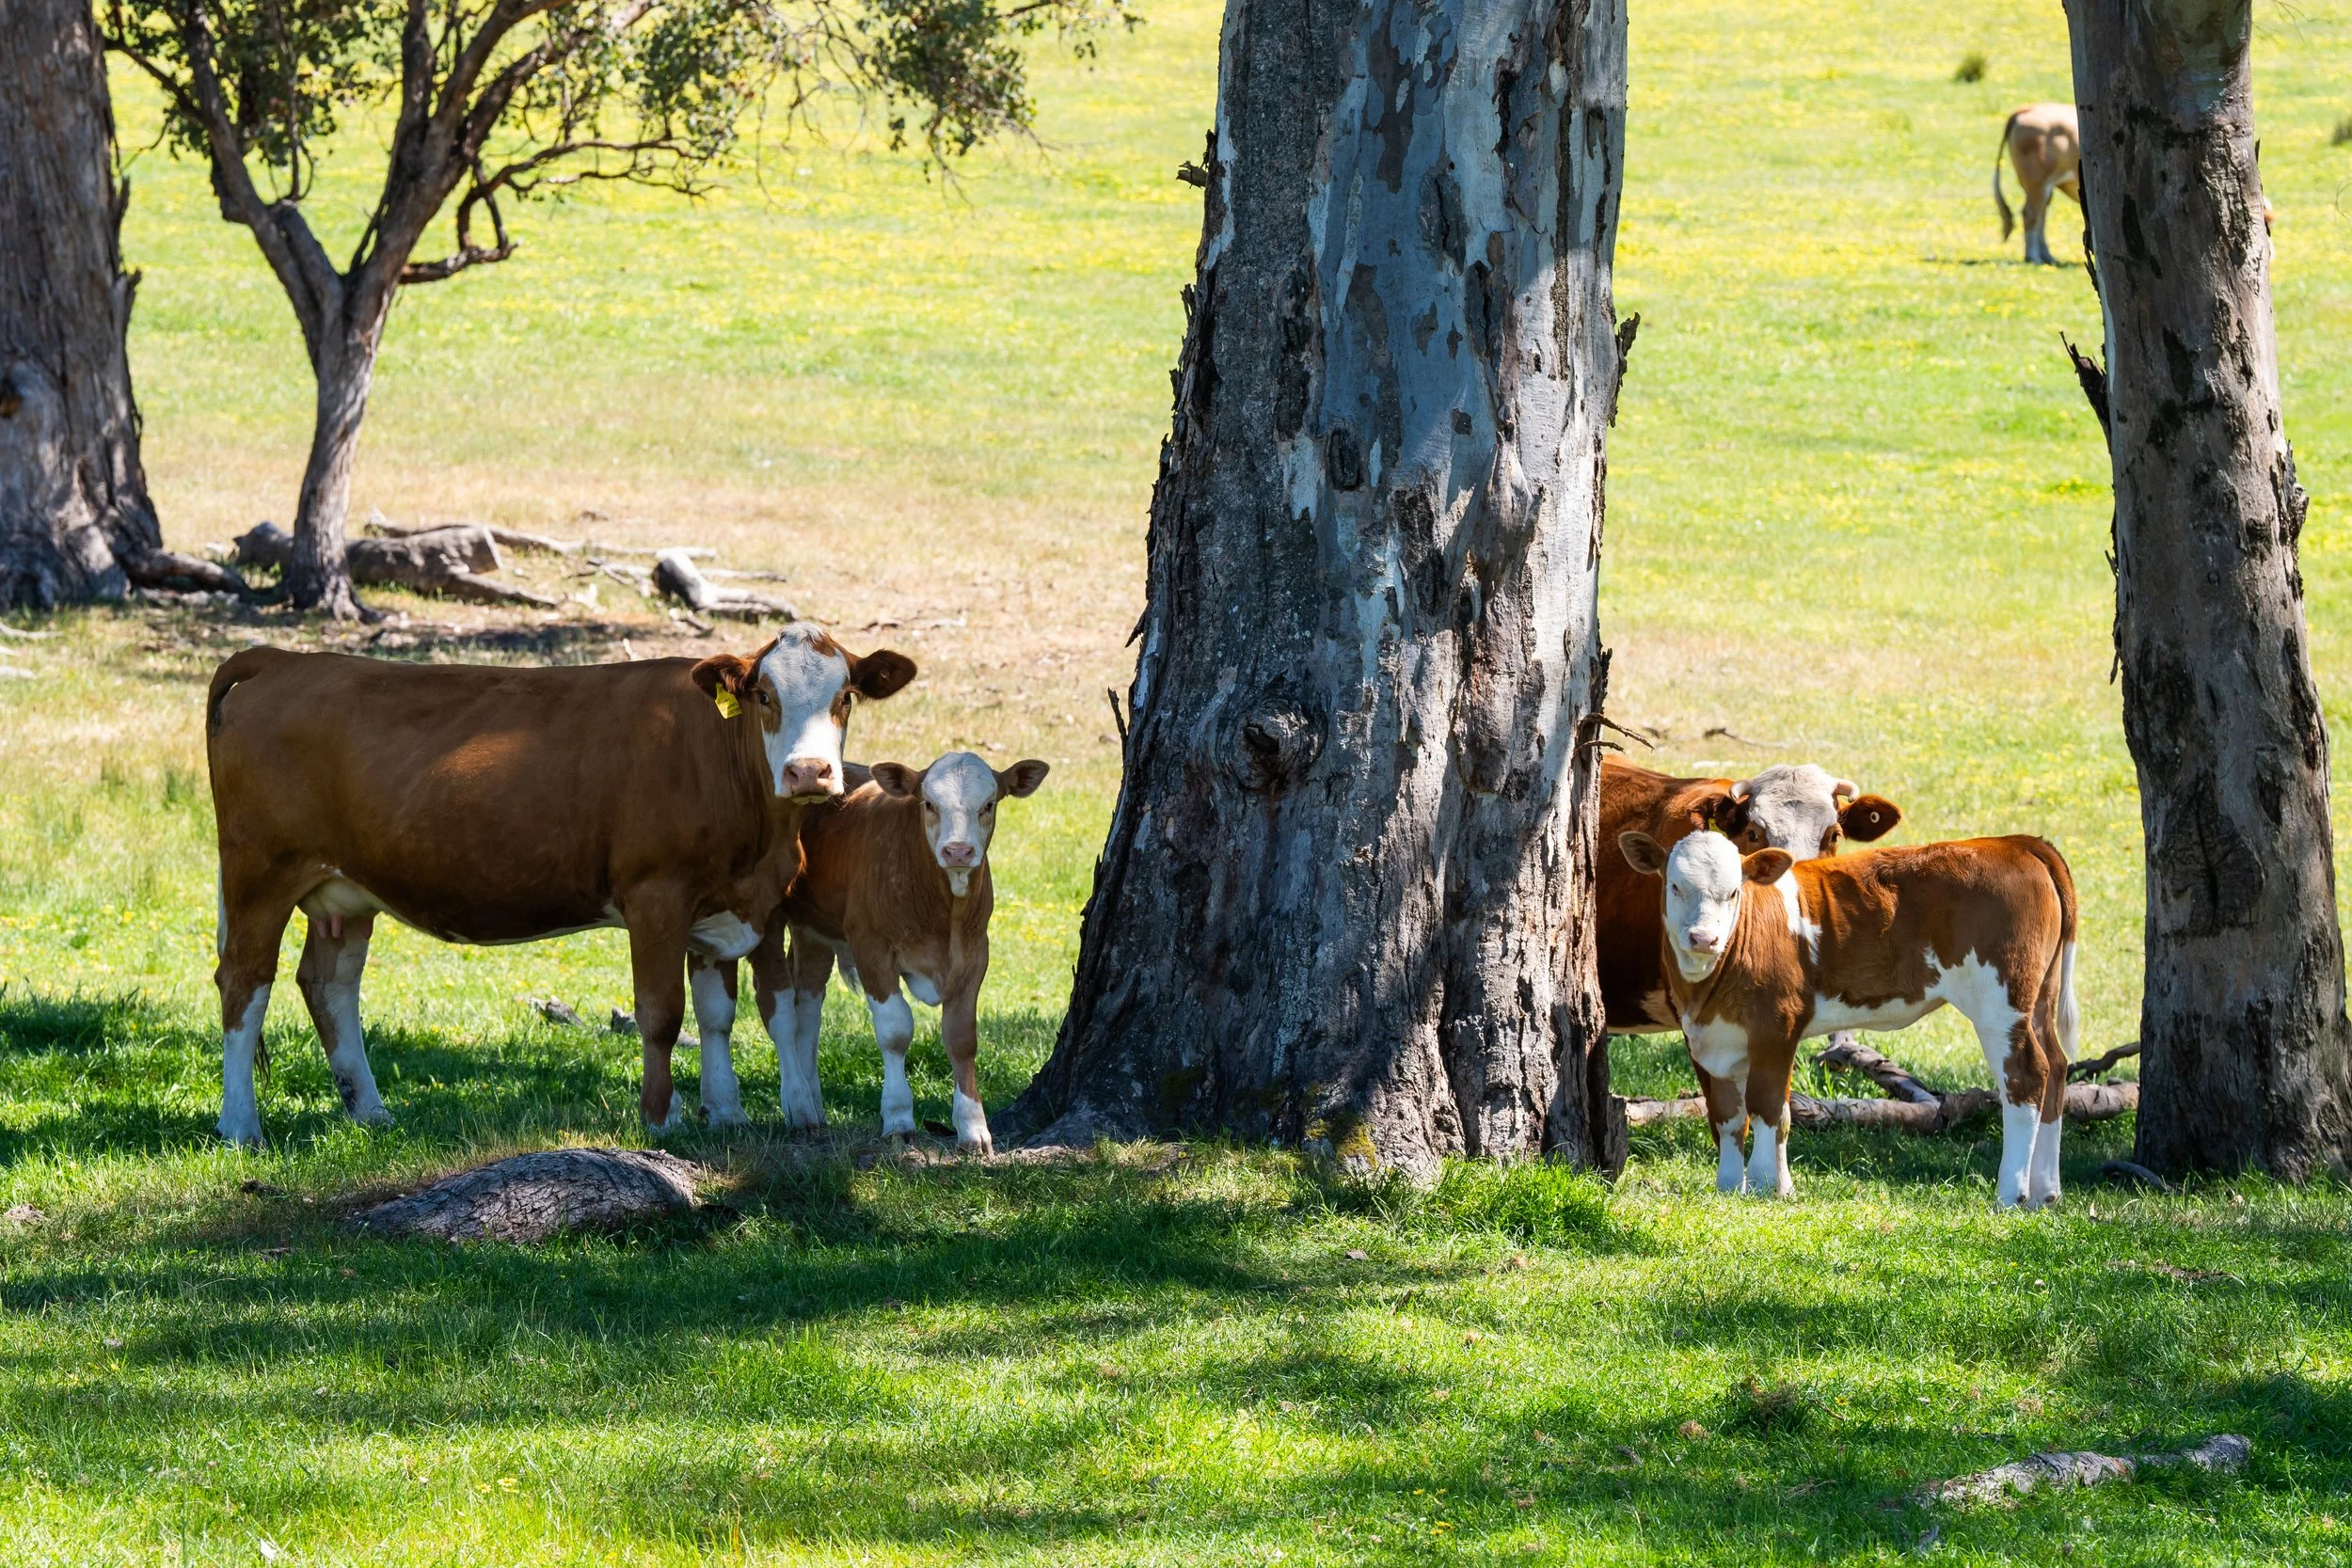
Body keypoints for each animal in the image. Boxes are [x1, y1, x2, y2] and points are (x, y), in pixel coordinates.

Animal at [203, 625, 916, 1147]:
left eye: (845, 696)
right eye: (765, 696)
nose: (808, 772)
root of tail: (284, 660)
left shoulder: (723, 906)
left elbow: (717, 1013)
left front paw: (728, 1113)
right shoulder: (656, 894)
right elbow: (662, 1013)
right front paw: (661, 1118)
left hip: (345, 892)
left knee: (329, 984)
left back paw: (370, 1110)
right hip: (260, 873)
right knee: (244, 983)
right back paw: (240, 1125)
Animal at [734, 750, 1050, 1155]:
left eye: (989, 804)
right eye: (929, 804)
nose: (958, 851)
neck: (941, 913)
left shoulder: (976, 952)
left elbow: (962, 1038)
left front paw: (973, 1127)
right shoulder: (871, 947)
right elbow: (896, 1031)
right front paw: (899, 1119)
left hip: (814, 930)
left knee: (808, 1007)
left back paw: (813, 1103)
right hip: (767, 916)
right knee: (778, 1009)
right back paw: (799, 1107)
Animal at [1618, 830, 2078, 1210]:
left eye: (1733, 892)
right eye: (1674, 885)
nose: (1703, 938)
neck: (1706, 990)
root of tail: (2015, 843)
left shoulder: (1776, 1026)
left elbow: (1768, 1108)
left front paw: (1766, 1185)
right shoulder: (1710, 1040)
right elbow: (1730, 1116)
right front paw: (1732, 1187)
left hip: (2000, 1001)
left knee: (2025, 1076)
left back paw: (2011, 1194)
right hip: (2040, 996)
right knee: (2056, 1066)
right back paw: (2045, 1191)